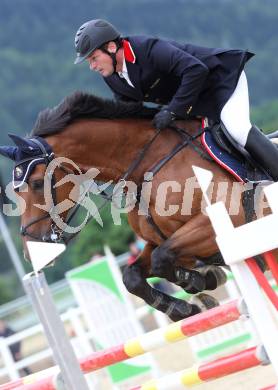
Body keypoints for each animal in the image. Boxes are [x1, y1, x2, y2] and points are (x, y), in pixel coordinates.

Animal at [0, 91, 276, 320]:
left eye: (37, 183)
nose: (30, 249)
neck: (148, 166)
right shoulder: (160, 241)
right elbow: (133, 275)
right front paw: (184, 306)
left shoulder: (221, 221)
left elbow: (161, 258)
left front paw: (199, 281)